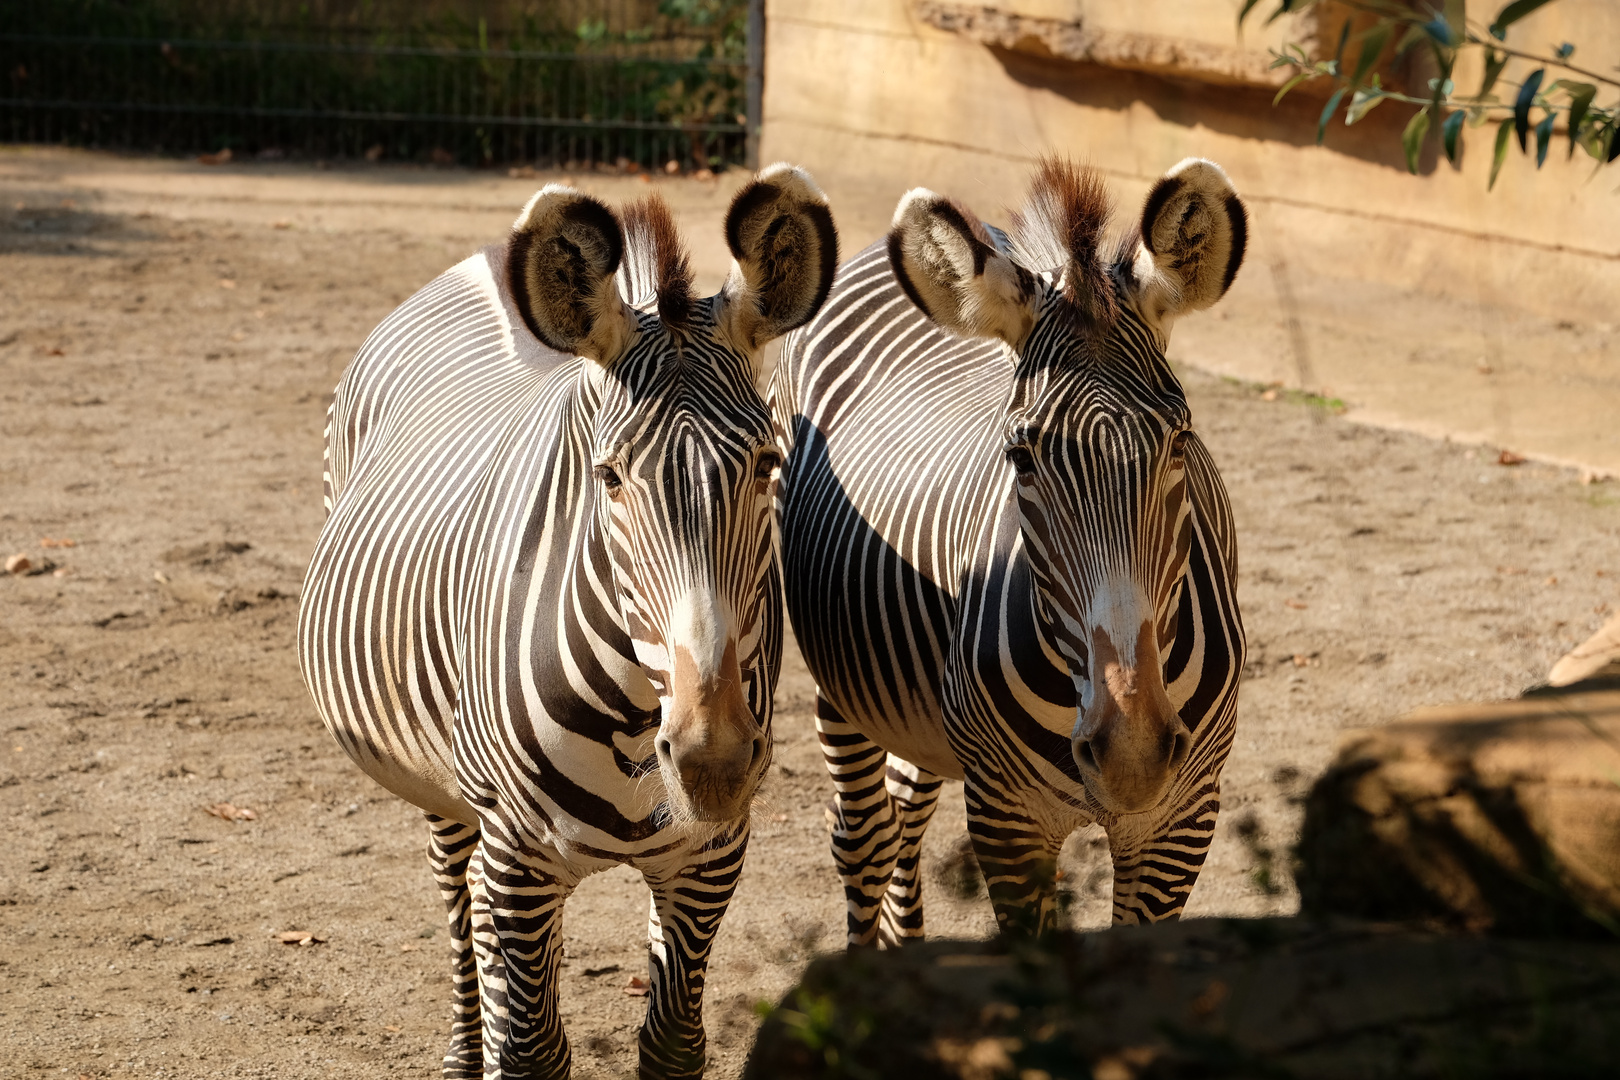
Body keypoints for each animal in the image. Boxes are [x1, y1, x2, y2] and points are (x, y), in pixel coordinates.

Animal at [298, 162, 842, 1080]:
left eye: (769, 462)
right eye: (610, 478)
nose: (713, 761)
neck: (634, 717)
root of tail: (489, 256)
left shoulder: (709, 858)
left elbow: (672, 1044)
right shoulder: (519, 857)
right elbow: (533, 1050)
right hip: (451, 796)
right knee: (460, 905)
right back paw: (465, 1048)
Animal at [777, 156, 1244, 939]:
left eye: (1181, 440)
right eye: (1020, 457)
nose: (1133, 754)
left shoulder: (1182, 815)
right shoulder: (1007, 819)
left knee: (904, 813)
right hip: (841, 687)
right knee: (863, 839)